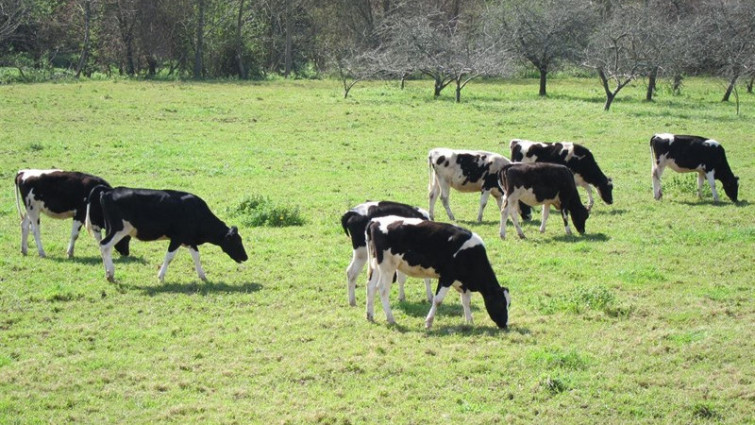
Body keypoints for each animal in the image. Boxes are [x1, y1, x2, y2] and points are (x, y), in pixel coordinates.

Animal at [88, 186, 248, 282]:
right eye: (236, 241)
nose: (245, 257)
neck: (196, 212)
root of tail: (109, 191)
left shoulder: (189, 239)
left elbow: (196, 256)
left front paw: (202, 276)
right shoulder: (177, 238)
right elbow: (169, 257)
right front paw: (161, 276)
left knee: (103, 247)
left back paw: (107, 273)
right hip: (119, 229)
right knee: (104, 245)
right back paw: (110, 273)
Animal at [364, 215, 510, 328]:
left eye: (509, 304)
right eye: (502, 303)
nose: (504, 324)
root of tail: (375, 221)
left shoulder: (462, 282)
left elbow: (466, 301)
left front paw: (469, 321)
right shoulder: (447, 277)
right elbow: (438, 300)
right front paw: (428, 322)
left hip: (376, 264)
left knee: (371, 287)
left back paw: (370, 315)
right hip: (387, 267)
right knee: (382, 290)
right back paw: (391, 318)